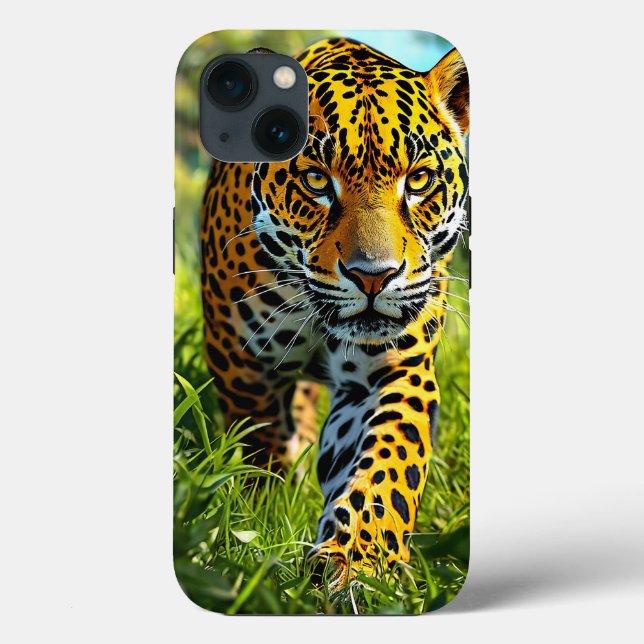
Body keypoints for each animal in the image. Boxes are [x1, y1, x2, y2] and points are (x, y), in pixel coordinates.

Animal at [200, 37, 469, 589]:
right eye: (316, 180)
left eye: (419, 180)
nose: (373, 276)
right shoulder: (242, 367)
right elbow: (261, 447)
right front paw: (266, 510)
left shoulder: (391, 371)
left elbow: (386, 464)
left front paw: (358, 564)